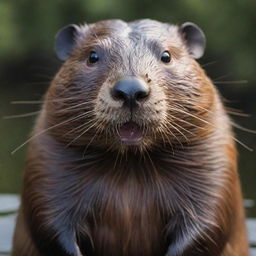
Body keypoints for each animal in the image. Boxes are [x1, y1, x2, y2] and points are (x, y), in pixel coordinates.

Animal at [11, 19, 248, 256]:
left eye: (166, 55)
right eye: (92, 56)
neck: (131, 168)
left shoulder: (214, 165)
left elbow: (207, 224)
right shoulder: (46, 164)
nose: (130, 90)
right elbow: (49, 221)